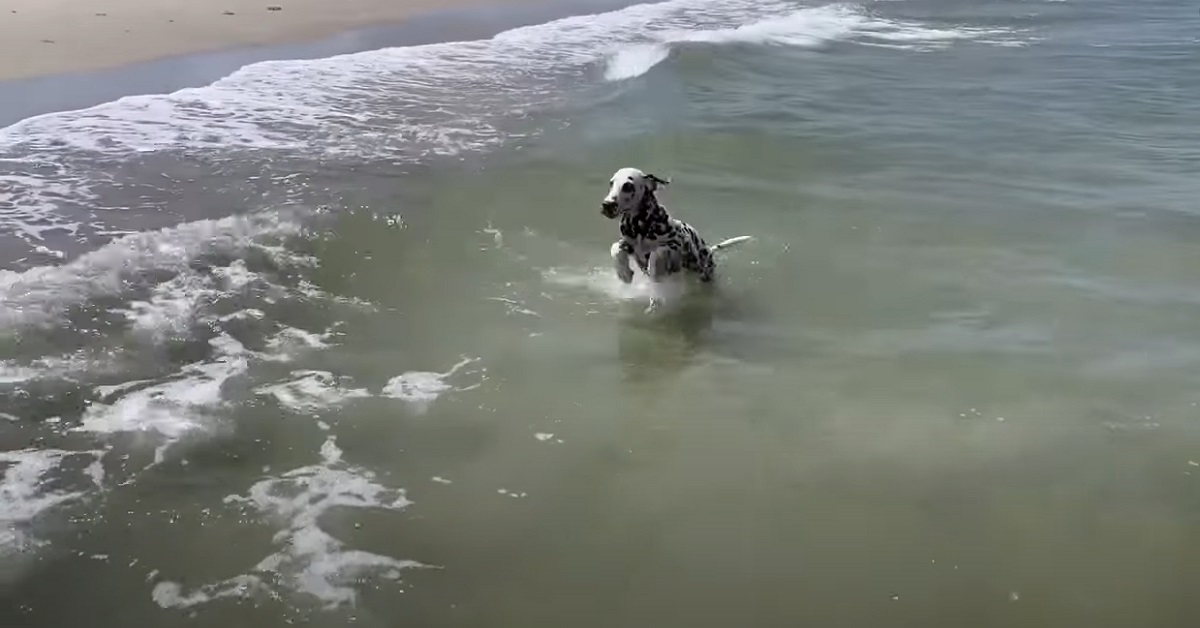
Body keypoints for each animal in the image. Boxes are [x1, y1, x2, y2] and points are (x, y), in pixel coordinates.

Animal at [600, 168, 748, 291]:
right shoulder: (630, 245)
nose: (606, 205)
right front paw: (624, 273)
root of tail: (709, 249)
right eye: (611, 183)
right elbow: (615, 247)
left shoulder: (676, 244)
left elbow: (656, 253)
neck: (640, 226)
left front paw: (655, 269)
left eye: (628, 186)